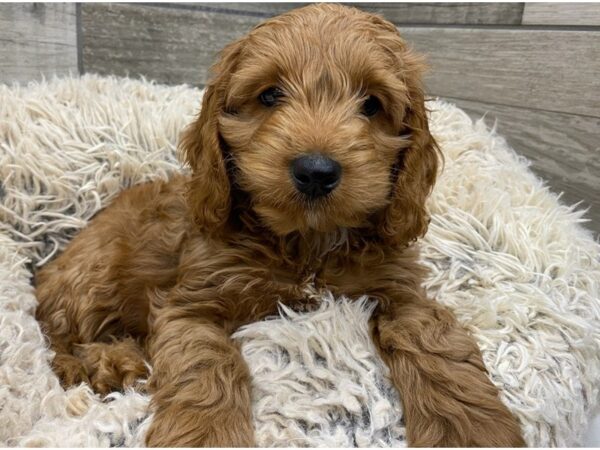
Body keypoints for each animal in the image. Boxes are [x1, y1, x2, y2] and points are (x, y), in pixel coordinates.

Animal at [36, 3, 524, 446]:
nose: (315, 170)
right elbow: (205, 363)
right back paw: (112, 363)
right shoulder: (190, 303)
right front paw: (205, 435)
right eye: (270, 96)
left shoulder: (400, 290)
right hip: (95, 273)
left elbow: (433, 341)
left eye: (371, 104)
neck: (306, 243)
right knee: (55, 338)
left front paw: (470, 430)